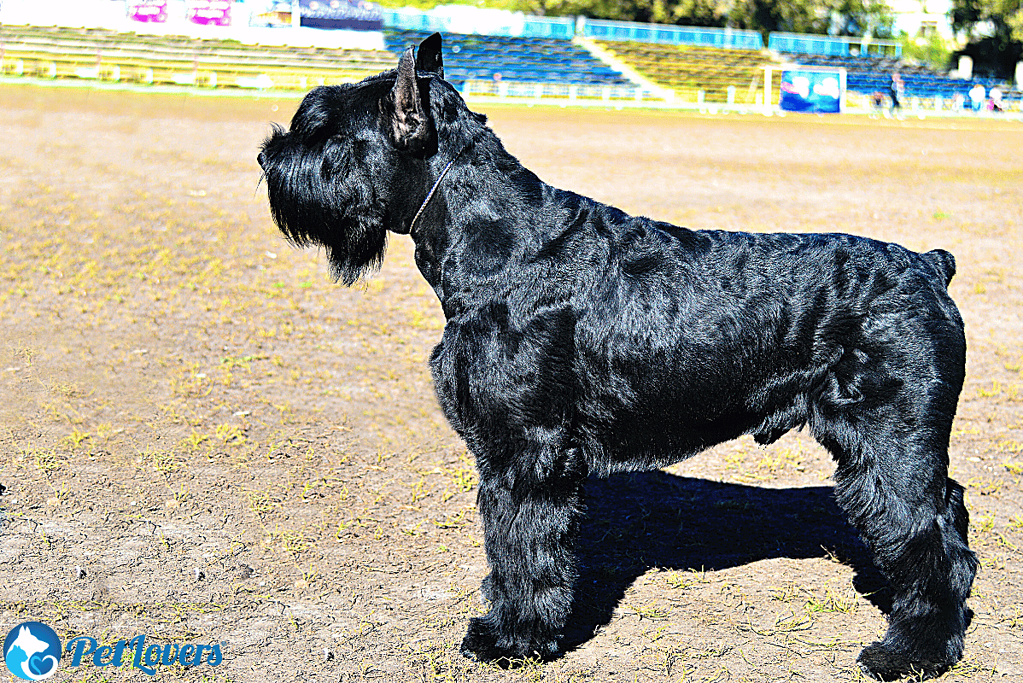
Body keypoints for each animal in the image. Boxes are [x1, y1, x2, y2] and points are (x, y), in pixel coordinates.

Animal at [259, 34, 977, 678]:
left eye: (322, 129)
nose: (266, 156)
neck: (498, 242)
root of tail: (928, 265)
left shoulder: (525, 451)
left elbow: (521, 548)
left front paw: (512, 638)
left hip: (890, 446)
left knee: (930, 540)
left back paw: (909, 652)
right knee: (949, 521)